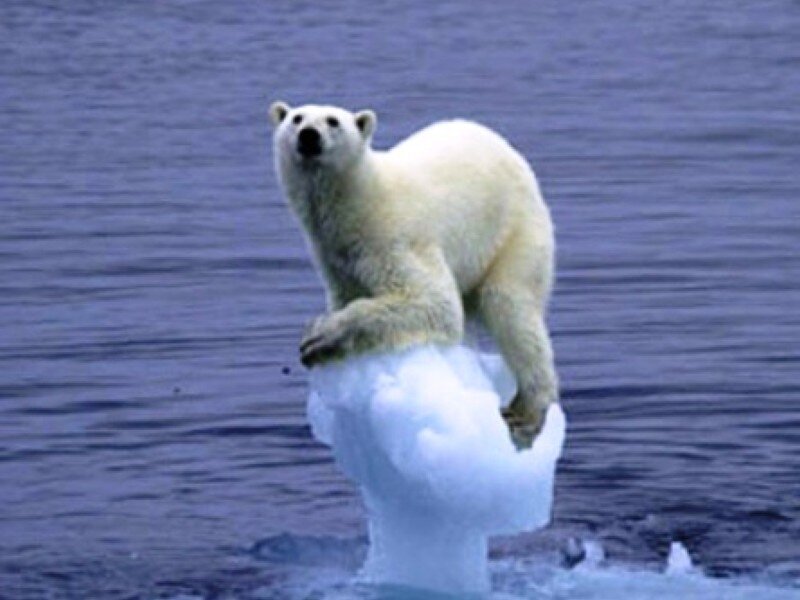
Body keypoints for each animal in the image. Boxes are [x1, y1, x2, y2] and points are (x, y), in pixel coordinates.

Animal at [269, 101, 558, 447]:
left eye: (333, 121)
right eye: (296, 118)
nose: (309, 135)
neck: (359, 202)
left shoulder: (393, 239)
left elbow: (433, 302)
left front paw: (319, 336)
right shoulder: (335, 258)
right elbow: (350, 294)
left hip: (514, 232)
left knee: (511, 308)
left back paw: (526, 411)